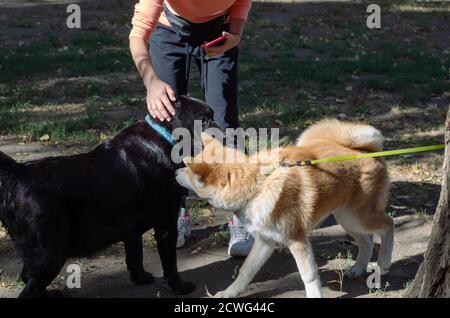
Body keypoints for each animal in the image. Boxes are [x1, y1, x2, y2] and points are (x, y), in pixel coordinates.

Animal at [0, 94, 217, 298]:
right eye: (203, 119)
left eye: (211, 116)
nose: (218, 127)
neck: (164, 137)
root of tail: (19, 172)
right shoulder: (166, 223)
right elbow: (170, 264)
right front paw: (180, 287)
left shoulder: (133, 227)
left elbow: (135, 255)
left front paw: (140, 277)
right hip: (50, 253)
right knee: (29, 288)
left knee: (27, 277)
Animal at [176, 119, 394, 298]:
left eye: (188, 172)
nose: (176, 171)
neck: (258, 185)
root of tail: (367, 150)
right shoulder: (265, 240)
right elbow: (246, 270)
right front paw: (230, 293)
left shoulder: (297, 240)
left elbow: (308, 275)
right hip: (346, 217)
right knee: (367, 241)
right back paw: (358, 267)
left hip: (357, 217)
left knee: (387, 225)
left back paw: (383, 262)